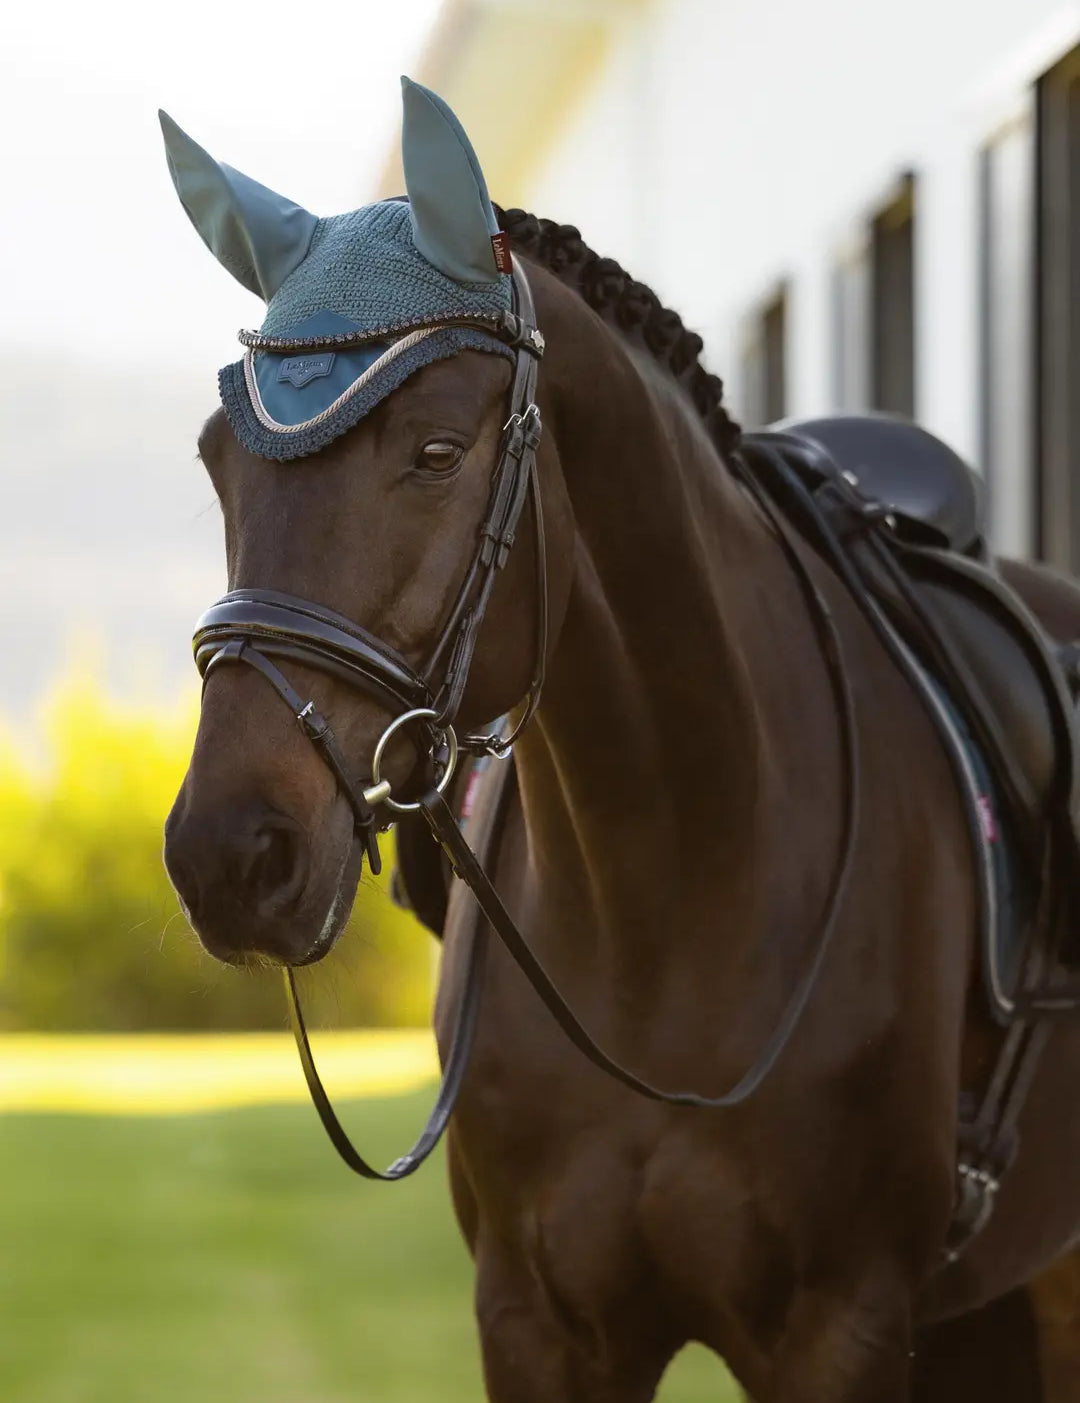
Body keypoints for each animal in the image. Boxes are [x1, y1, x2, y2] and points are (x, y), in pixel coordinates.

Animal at [160, 82, 1080, 1401]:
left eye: (435, 451)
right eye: (216, 458)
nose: (230, 854)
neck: (671, 901)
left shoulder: (843, 1326)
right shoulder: (539, 1322)